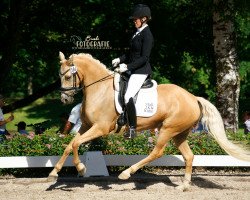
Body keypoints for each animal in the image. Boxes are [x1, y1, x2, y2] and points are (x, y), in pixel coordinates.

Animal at [47, 52, 250, 191]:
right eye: (59, 75)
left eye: (67, 76)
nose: (64, 100)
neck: (99, 89)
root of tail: (193, 97)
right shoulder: (87, 126)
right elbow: (70, 145)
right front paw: (53, 173)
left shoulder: (100, 128)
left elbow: (76, 144)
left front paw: (81, 168)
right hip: (179, 133)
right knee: (189, 156)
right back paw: (184, 186)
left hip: (168, 129)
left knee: (157, 152)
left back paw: (126, 173)